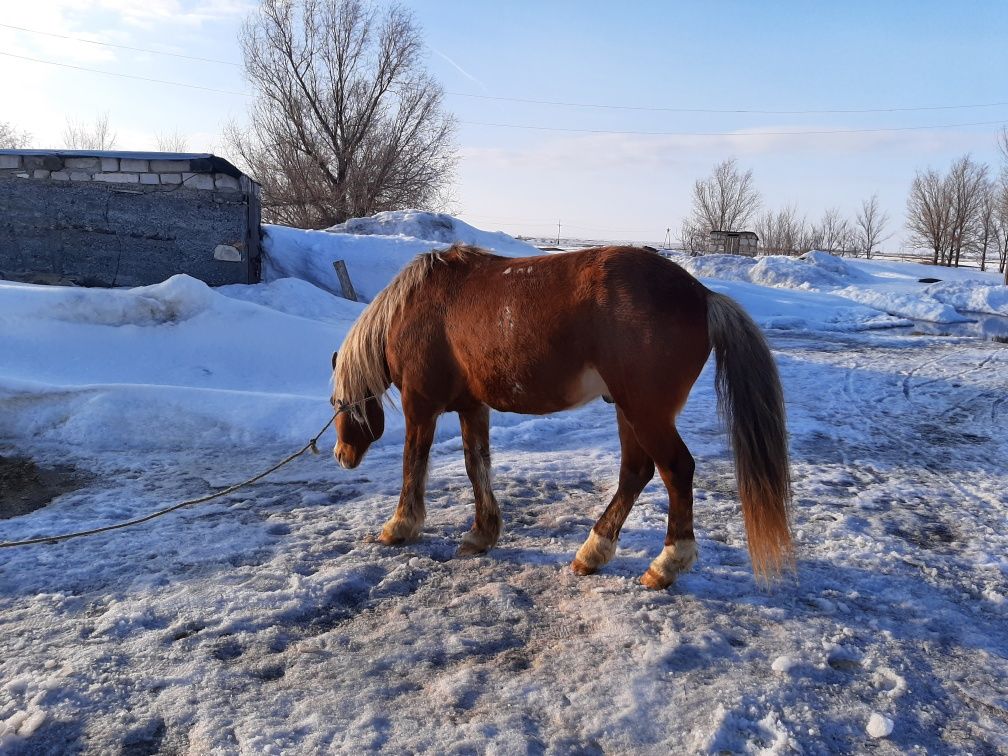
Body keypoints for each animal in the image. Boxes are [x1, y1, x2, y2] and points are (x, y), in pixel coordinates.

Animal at [330, 245, 794, 588]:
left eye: (337, 404)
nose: (341, 456)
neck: (416, 308)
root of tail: (702, 295)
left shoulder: (420, 404)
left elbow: (414, 462)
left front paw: (399, 527)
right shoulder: (473, 407)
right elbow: (476, 465)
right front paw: (482, 533)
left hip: (645, 412)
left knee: (676, 470)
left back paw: (665, 565)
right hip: (629, 410)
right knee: (636, 471)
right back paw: (593, 553)